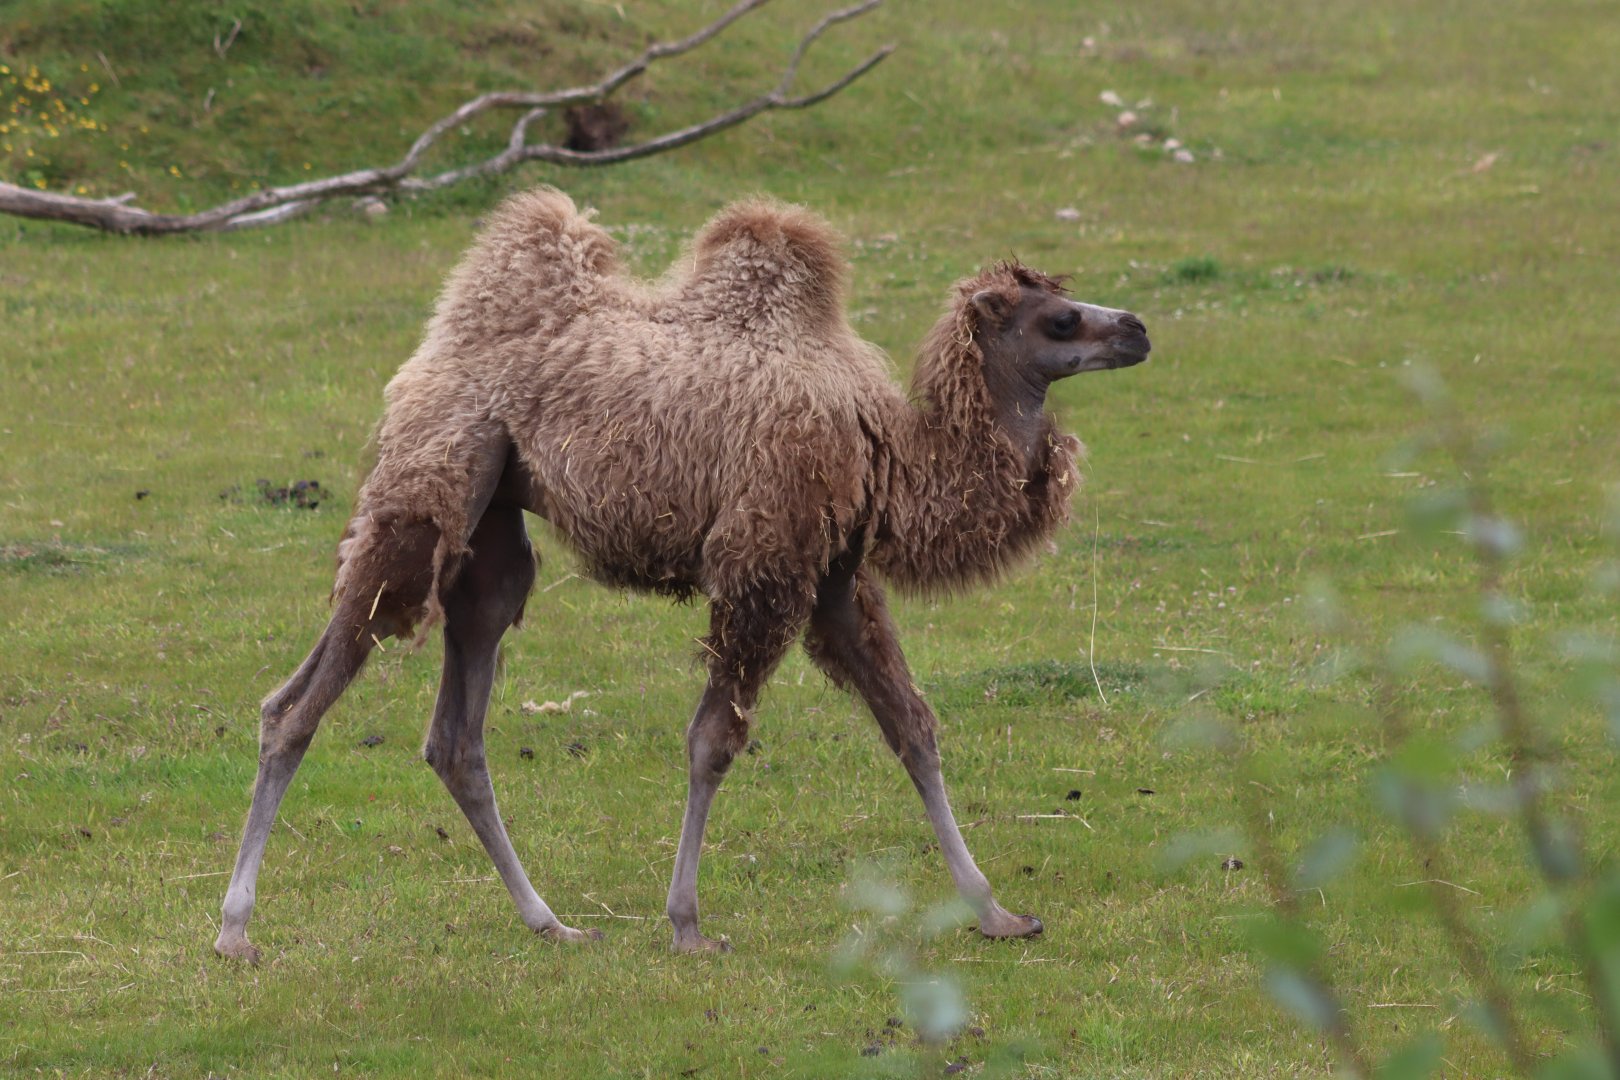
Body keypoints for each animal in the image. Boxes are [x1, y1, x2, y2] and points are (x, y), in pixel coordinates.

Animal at [214, 188, 1150, 960]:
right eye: (1060, 319)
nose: (1137, 326)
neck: (890, 451)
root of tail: (430, 354)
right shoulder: (766, 560)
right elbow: (713, 742)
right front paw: (688, 924)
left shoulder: (835, 575)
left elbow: (911, 726)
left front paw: (997, 913)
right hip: (432, 479)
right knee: (303, 699)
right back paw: (235, 930)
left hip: (494, 529)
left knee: (452, 730)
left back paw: (551, 922)